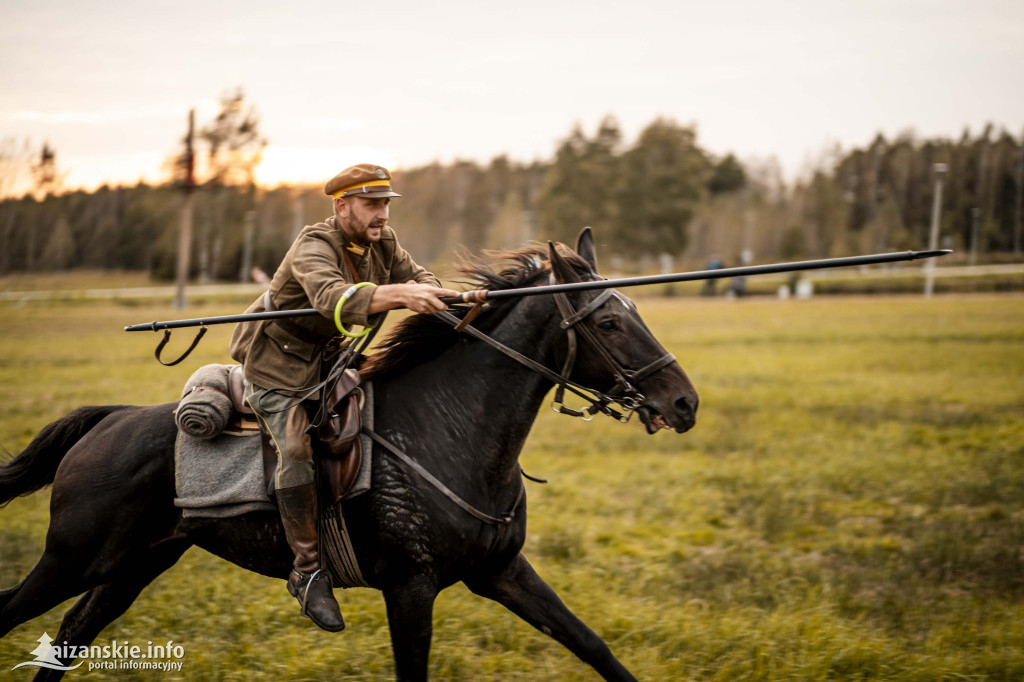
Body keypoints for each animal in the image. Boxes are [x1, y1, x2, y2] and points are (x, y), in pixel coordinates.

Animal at [0, 231, 696, 675]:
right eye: (609, 323)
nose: (684, 401)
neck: (450, 429)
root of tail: (109, 421)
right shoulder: (411, 588)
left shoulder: (502, 571)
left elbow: (594, 647)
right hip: (72, 560)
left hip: (131, 569)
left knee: (66, 642)